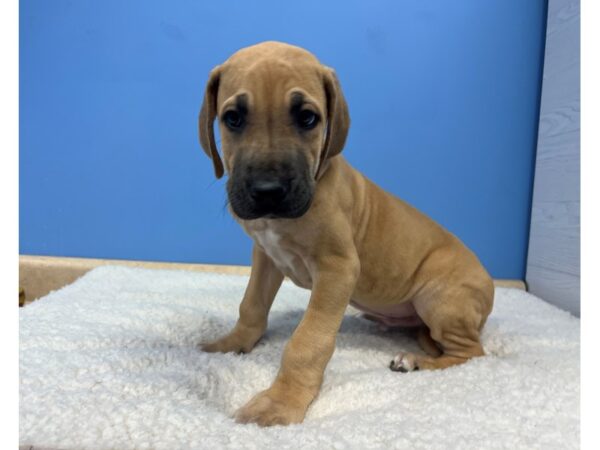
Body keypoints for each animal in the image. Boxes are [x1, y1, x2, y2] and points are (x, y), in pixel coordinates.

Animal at [199, 41, 494, 426]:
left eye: (307, 118)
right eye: (233, 118)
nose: (268, 191)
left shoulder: (337, 269)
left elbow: (308, 341)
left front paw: (282, 401)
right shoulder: (266, 256)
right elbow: (251, 305)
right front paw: (231, 345)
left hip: (441, 301)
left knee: (472, 352)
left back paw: (415, 361)